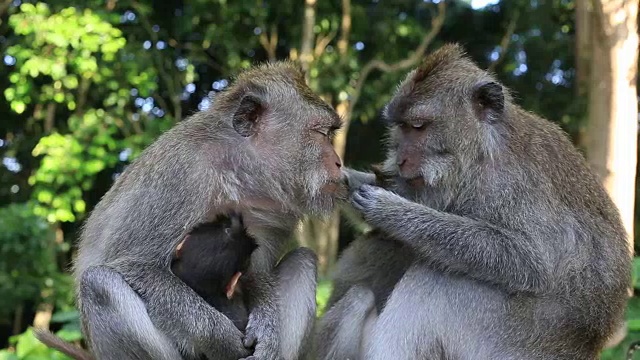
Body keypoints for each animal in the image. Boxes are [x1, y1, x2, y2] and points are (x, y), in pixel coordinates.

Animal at [73, 61, 348, 360]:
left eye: (330, 134)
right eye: (321, 133)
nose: (338, 162)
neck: (238, 171)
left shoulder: (278, 210)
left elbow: (257, 274)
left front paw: (268, 332)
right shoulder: (181, 173)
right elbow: (137, 264)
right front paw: (221, 338)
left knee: (304, 260)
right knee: (99, 283)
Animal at [318, 44, 632, 360]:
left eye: (418, 127)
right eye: (401, 127)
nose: (401, 159)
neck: (481, 153)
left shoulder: (512, 183)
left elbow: (531, 261)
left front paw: (389, 210)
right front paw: (344, 180)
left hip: (505, 340)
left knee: (437, 275)